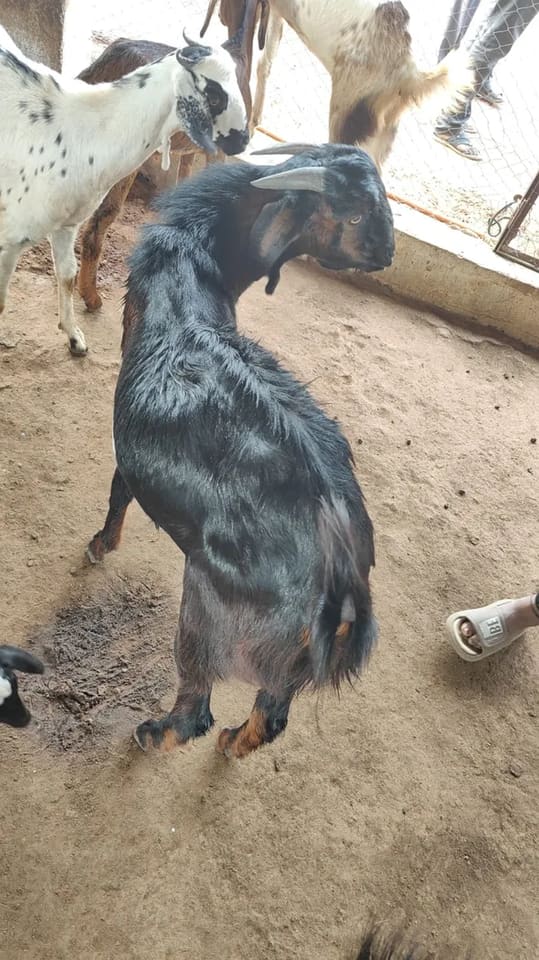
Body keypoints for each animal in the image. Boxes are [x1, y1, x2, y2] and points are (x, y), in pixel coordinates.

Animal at [86, 142, 393, 757]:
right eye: (353, 217)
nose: (390, 252)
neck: (192, 261)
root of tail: (342, 587)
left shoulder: (126, 444)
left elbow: (117, 492)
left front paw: (99, 546)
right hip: (285, 659)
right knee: (272, 715)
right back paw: (234, 743)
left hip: (206, 607)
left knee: (195, 708)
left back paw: (153, 732)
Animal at [201, 0, 470, 169]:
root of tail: (408, 73)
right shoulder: (274, 12)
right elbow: (265, 61)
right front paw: (254, 122)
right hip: (381, 135)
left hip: (345, 118)